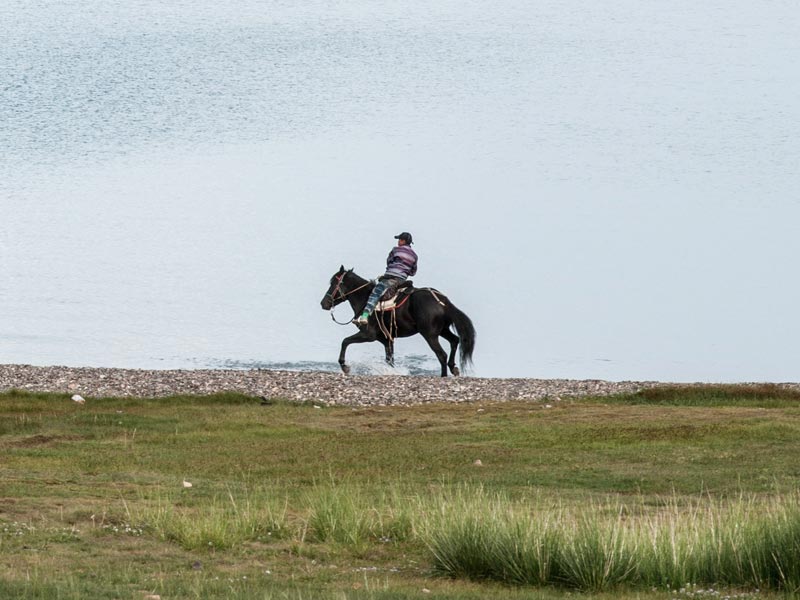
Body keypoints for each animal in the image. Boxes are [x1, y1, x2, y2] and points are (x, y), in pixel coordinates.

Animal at [320, 266, 476, 378]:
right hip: (442, 330)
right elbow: (390, 360)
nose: (324, 303)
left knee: (441, 354)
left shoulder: (368, 335)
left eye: (334, 283)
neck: (364, 299)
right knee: (455, 340)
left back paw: (444, 375)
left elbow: (345, 341)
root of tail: (443, 301)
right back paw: (453, 368)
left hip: (430, 334)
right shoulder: (386, 340)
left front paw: (345, 367)